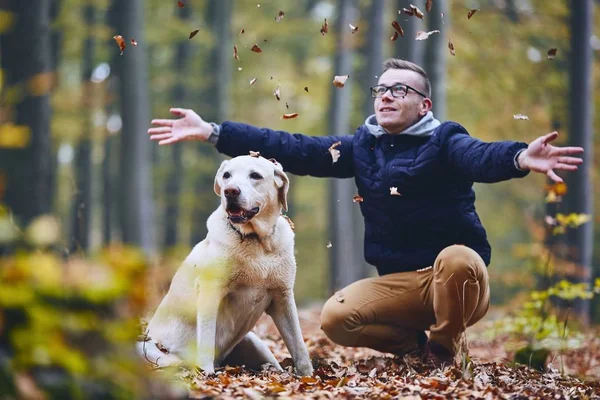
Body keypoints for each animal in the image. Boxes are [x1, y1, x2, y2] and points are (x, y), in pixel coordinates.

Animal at [138, 153, 312, 376]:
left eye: (255, 175)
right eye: (227, 175)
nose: (230, 191)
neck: (256, 241)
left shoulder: (282, 297)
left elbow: (299, 345)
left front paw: (308, 376)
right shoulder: (210, 291)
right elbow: (206, 339)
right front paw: (207, 373)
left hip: (255, 342)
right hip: (150, 350)